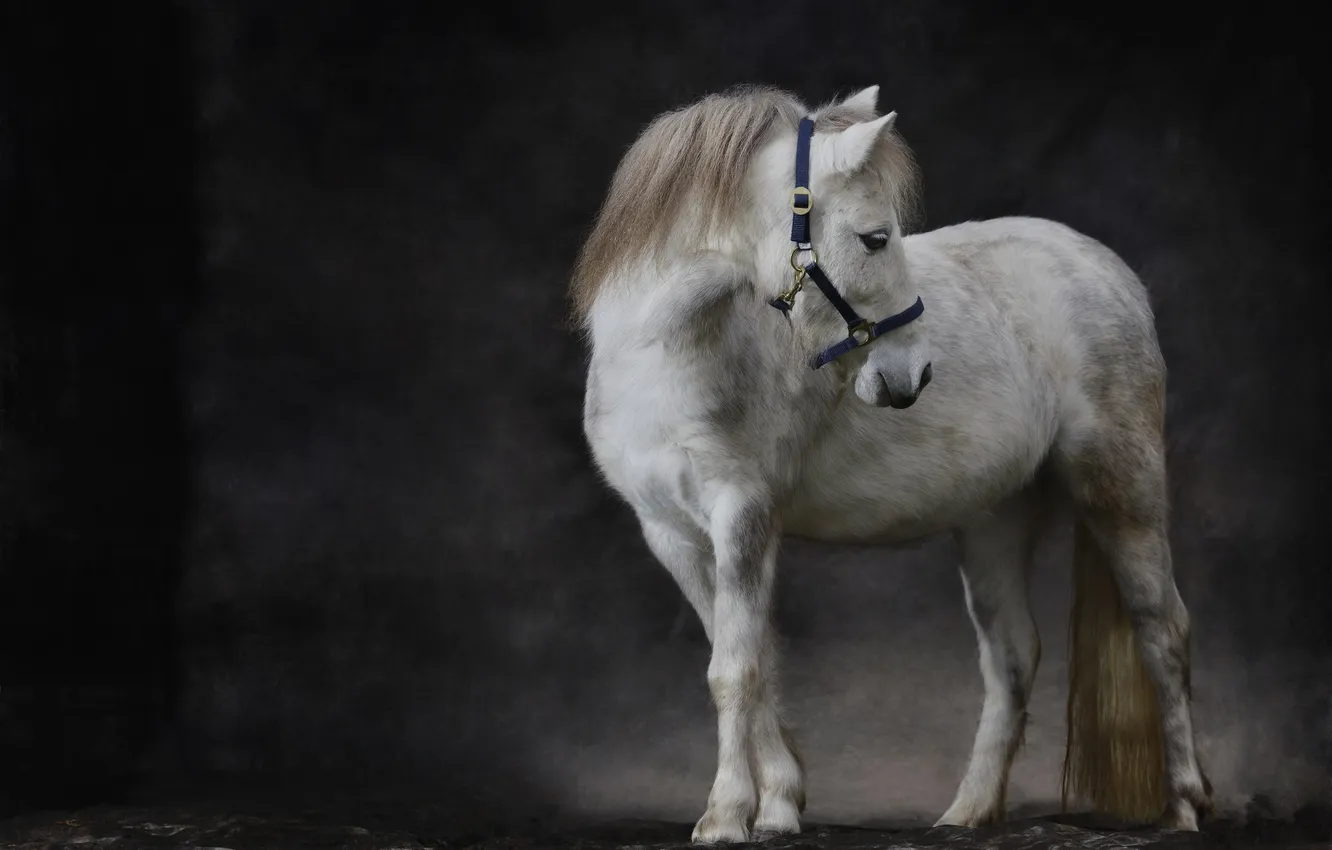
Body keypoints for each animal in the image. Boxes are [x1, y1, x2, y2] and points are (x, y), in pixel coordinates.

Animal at [570, 84, 1211, 843]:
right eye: (875, 238)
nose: (914, 373)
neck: (667, 356)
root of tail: (1106, 269)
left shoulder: (743, 514)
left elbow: (736, 668)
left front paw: (726, 816)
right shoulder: (672, 532)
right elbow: (752, 660)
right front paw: (779, 806)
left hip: (1121, 487)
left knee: (1162, 629)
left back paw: (1185, 804)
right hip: (994, 517)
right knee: (1013, 657)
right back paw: (965, 814)